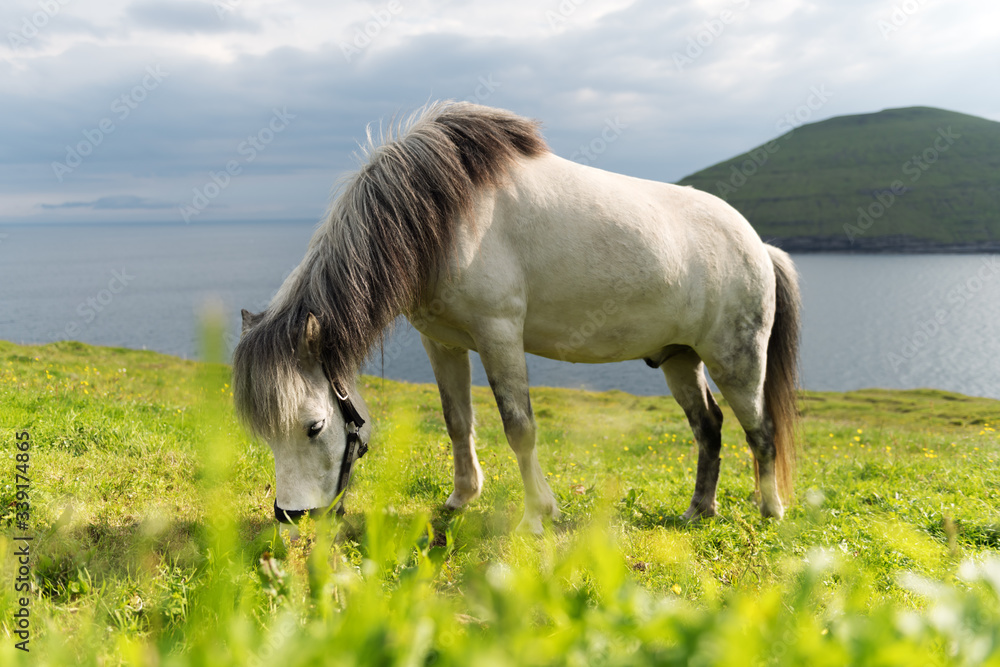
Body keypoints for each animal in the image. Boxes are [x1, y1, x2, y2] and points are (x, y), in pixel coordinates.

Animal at [230, 102, 800, 536]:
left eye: (314, 426)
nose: (290, 517)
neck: (445, 215)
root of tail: (759, 245)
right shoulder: (443, 343)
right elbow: (458, 420)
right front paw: (461, 498)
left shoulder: (499, 335)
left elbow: (519, 427)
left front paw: (536, 516)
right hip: (681, 359)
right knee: (709, 428)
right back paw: (699, 510)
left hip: (735, 360)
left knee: (760, 429)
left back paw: (771, 510)